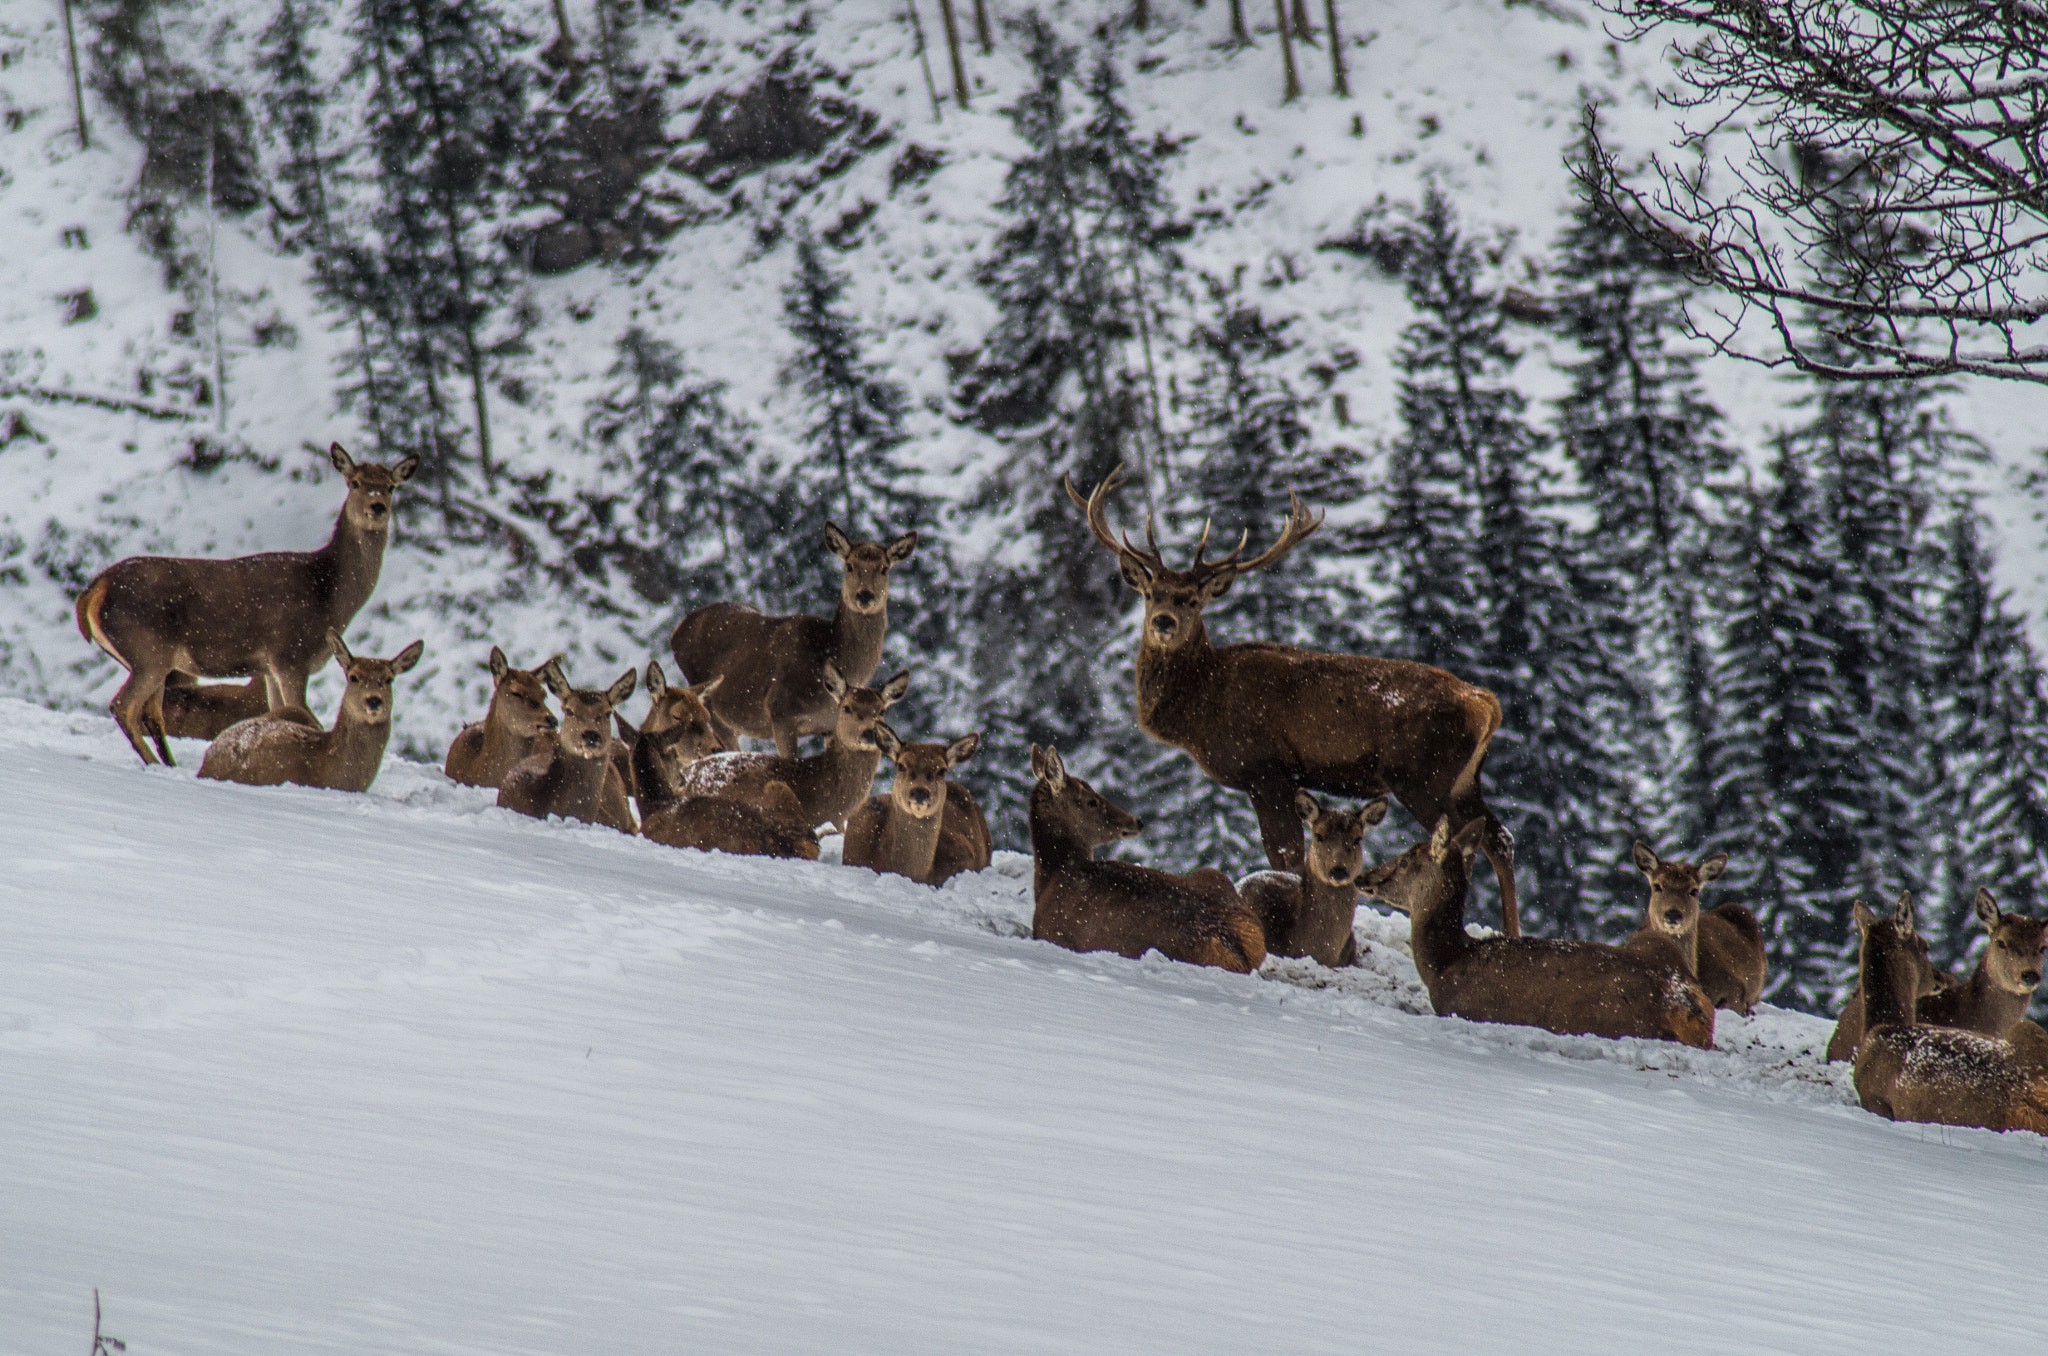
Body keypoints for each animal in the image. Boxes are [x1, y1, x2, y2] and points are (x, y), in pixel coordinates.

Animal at [76, 443, 419, 766]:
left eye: (390, 485)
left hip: (151, 658)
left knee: (151, 713)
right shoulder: (290, 655)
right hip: (148, 650)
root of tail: (93, 590)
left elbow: (280, 713)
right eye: (355, 482)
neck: (328, 594)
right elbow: (305, 716)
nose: (377, 506)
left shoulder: (269, 667)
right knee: (123, 706)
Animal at [671, 522, 918, 756]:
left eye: (884, 568)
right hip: (712, 708)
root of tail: (677, 631)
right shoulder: (780, 711)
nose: (865, 595)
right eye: (849, 565)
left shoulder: (830, 726)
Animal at [1067, 468, 1521, 936]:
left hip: (1424, 776)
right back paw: (1512, 932)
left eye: (1192, 599)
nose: (1163, 622)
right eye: (1150, 593)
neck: (1202, 704)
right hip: (1463, 779)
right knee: (1499, 838)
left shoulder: (1265, 768)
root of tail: (1487, 704)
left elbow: (1285, 855)